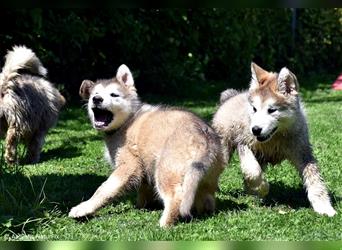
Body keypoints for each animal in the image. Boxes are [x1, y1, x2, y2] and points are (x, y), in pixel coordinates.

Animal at [69, 64, 224, 227]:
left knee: (176, 196)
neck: (127, 121)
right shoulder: (144, 167)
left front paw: (83, 208)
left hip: (164, 171)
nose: (96, 99)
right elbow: (143, 190)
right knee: (207, 199)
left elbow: (103, 189)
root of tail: (204, 136)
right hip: (204, 179)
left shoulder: (128, 166)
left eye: (114, 95)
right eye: (95, 94)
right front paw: (143, 205)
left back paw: (164, 224)